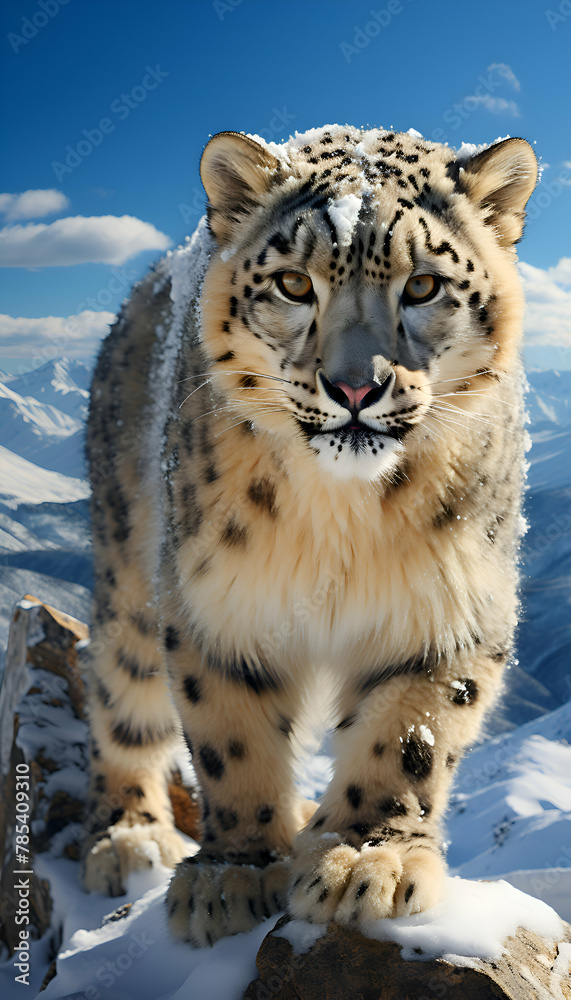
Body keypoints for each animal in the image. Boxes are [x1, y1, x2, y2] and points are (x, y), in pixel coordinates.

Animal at [82, 124, 537, 948]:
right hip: (130, 574)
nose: (356, 387)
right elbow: (227, 731)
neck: (343, 513)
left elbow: (411, 734)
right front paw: (232, 872)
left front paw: (363, 857)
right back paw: (130, 839)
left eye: (423, 286)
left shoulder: (448, 604)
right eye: (295, 284)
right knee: (117, 696)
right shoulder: (216, 600)